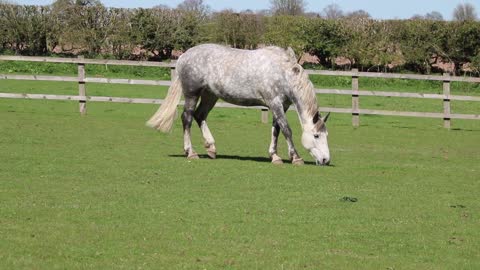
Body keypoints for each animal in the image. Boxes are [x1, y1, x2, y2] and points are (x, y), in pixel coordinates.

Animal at [148, 43, 332, 166]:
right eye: (316, 135)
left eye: (326, 135)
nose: (326, 159)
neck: (283, 72)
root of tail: (183, 56)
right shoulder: (275, 103)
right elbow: (286, 129)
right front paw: (296, 157)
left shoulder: (281, 106)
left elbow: (276, 129)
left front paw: (274, 156)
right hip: (192, 94)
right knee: (187, 118)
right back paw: (191, 152)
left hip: (210, 95)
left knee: (200, 116)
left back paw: (211, 148)